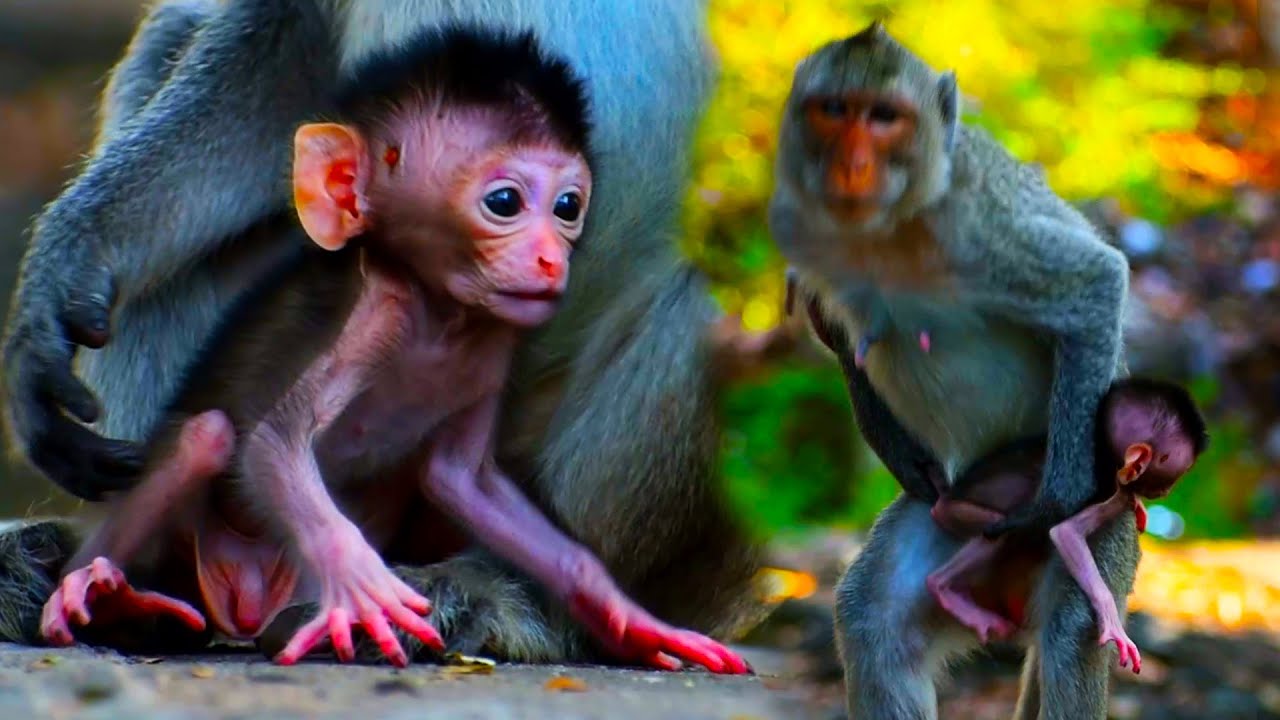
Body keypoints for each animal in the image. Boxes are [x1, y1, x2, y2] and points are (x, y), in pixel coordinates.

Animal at [1, 0, 765, 669]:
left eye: (565, 206)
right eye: (504, 202)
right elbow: (289, 37)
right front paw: (79, 254)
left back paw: (532, 600)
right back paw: (132, 576)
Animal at [770, 23, 1133, 719]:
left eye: (885, 118)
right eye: (835, 109)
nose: (851, 165)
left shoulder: (979, 227)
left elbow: (1096, 285)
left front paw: (1055, 497)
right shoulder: (797, 222)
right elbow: (841, 339)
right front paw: (899, 456)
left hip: (1103, 526)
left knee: (1073, 630)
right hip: (955, 523)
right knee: (875, 622)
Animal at [926, 377, 1208, 674]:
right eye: (1175, 474)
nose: (1167, 490)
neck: (1105, 451)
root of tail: (946, 498)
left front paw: (1138, 506)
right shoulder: (1107, 488)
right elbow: (1065, 533)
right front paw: (1111, 622)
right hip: (957, 513)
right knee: (1005, 535)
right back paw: (942, 587)